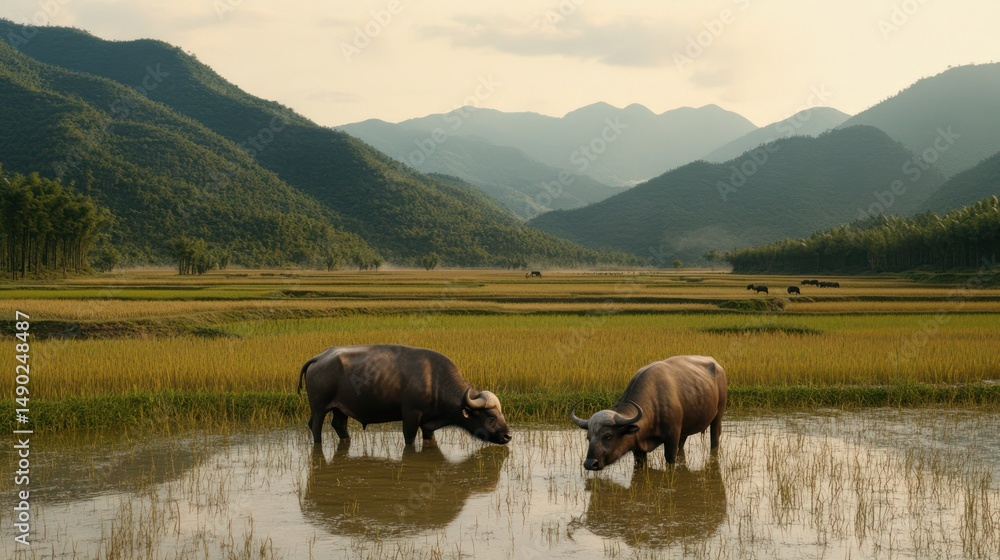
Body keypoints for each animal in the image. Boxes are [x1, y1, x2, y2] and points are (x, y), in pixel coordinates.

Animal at [298, 345, 511, 447]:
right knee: (315, 427)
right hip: (319, 408)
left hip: (340, 408)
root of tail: (320, 357)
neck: (434, 379)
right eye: (490, 416)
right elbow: (409, 437)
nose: (508, 436)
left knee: (339, 425)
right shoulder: (410, 414)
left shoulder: (428, 423)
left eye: (501, 414)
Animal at [569, 355, 727, 469]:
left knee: (715, 438)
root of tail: (718, 366)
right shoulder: (638, 447)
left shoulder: (672, 437)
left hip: (717, 416)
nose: (590, 463)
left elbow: (670, 459)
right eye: (588, 437)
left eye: (608, 436)